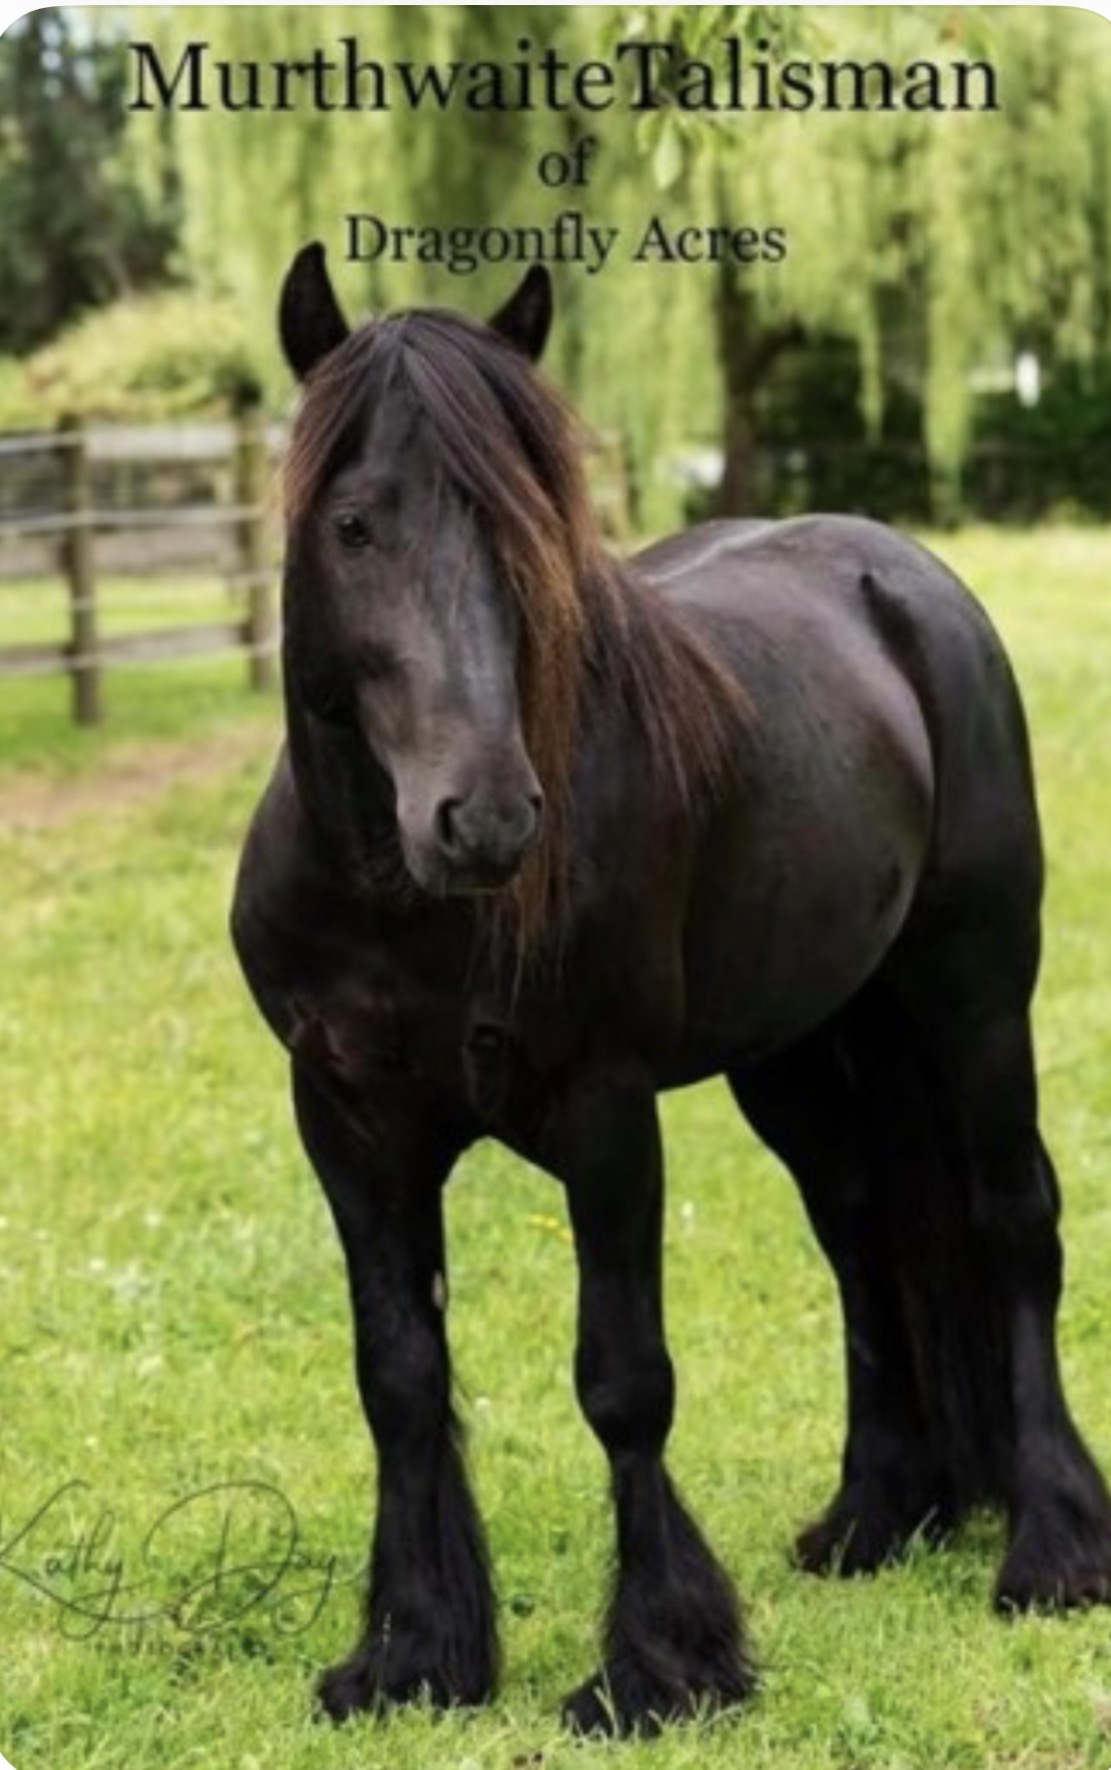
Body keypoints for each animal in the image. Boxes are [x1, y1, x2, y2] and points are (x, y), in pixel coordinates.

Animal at [231, 243, 1111, 1736]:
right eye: (353, 527)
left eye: (531, 531)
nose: (485, 817)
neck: (407, 911)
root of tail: (900, 579)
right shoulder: (342, 1123)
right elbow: (398, 1374)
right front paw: (414, 1651)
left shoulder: (605, 1119)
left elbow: (623, 1380)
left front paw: (658, 1661)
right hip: (802, 1054)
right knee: (860, 1235)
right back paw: (872, 1518)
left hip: (975, 999)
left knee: (1010, 1226)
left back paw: (1051, 1546)